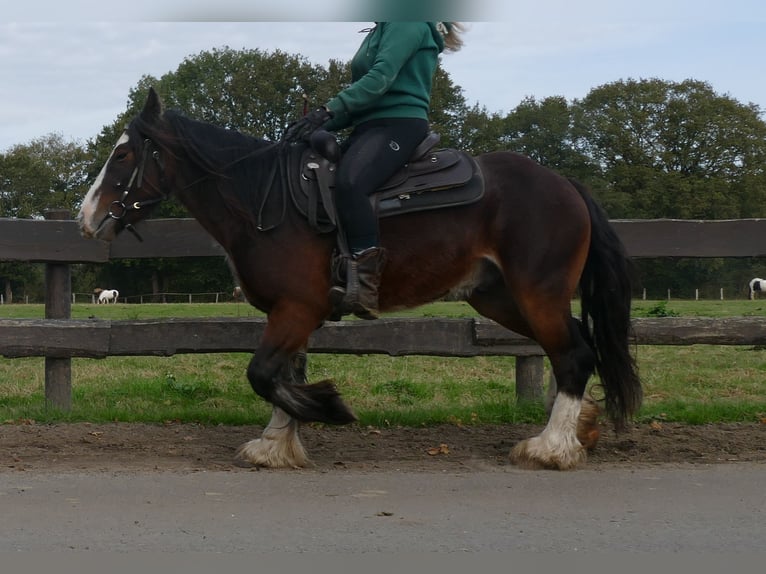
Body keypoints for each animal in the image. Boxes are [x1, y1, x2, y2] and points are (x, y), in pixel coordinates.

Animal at [78, 88, 640, 470]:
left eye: (124, 155)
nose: (86, 217)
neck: (264, 199)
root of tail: (565, 183)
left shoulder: (297, 310)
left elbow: (263, 375)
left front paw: (327, 408)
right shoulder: (292, 313)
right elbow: (282, 375)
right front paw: (277, 445)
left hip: (537, 293)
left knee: (574, 354)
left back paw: (552, 448)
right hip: (501, 299)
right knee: (577, 347)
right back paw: (582, 428)